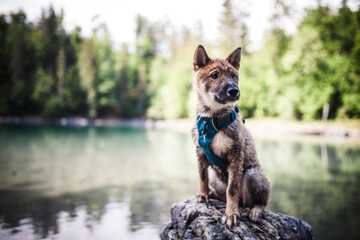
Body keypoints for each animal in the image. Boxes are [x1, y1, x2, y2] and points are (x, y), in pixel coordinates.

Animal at [191, 45, 270, 229]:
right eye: (214, 75)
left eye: (234, 75)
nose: (234, 91)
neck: (211, 119)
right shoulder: (200, 154)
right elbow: (202, 177)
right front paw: (203, 195)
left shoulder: (235, 155)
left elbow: (232, 188)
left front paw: (231, 213)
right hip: (216, 177)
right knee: (221, 193)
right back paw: (212, 194)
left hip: (252, 174)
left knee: (260, 201)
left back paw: (254, 210)